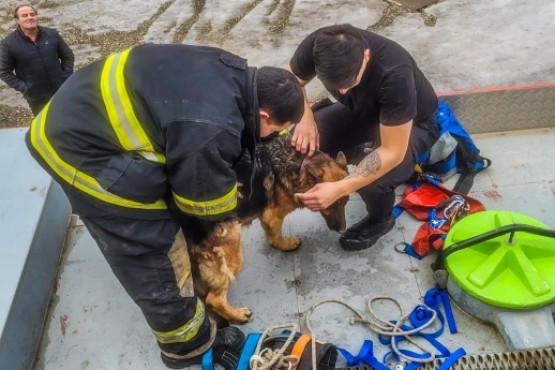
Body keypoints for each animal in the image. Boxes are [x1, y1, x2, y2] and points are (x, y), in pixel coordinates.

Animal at [178, 133, 350, 324]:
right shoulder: (273, 216)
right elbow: (275, 238)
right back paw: (238, 315)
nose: (343, 230)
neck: (298, 164)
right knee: (213, 299)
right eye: (331, 205)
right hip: (233, 249)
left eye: (345, 202)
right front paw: (287, 245)